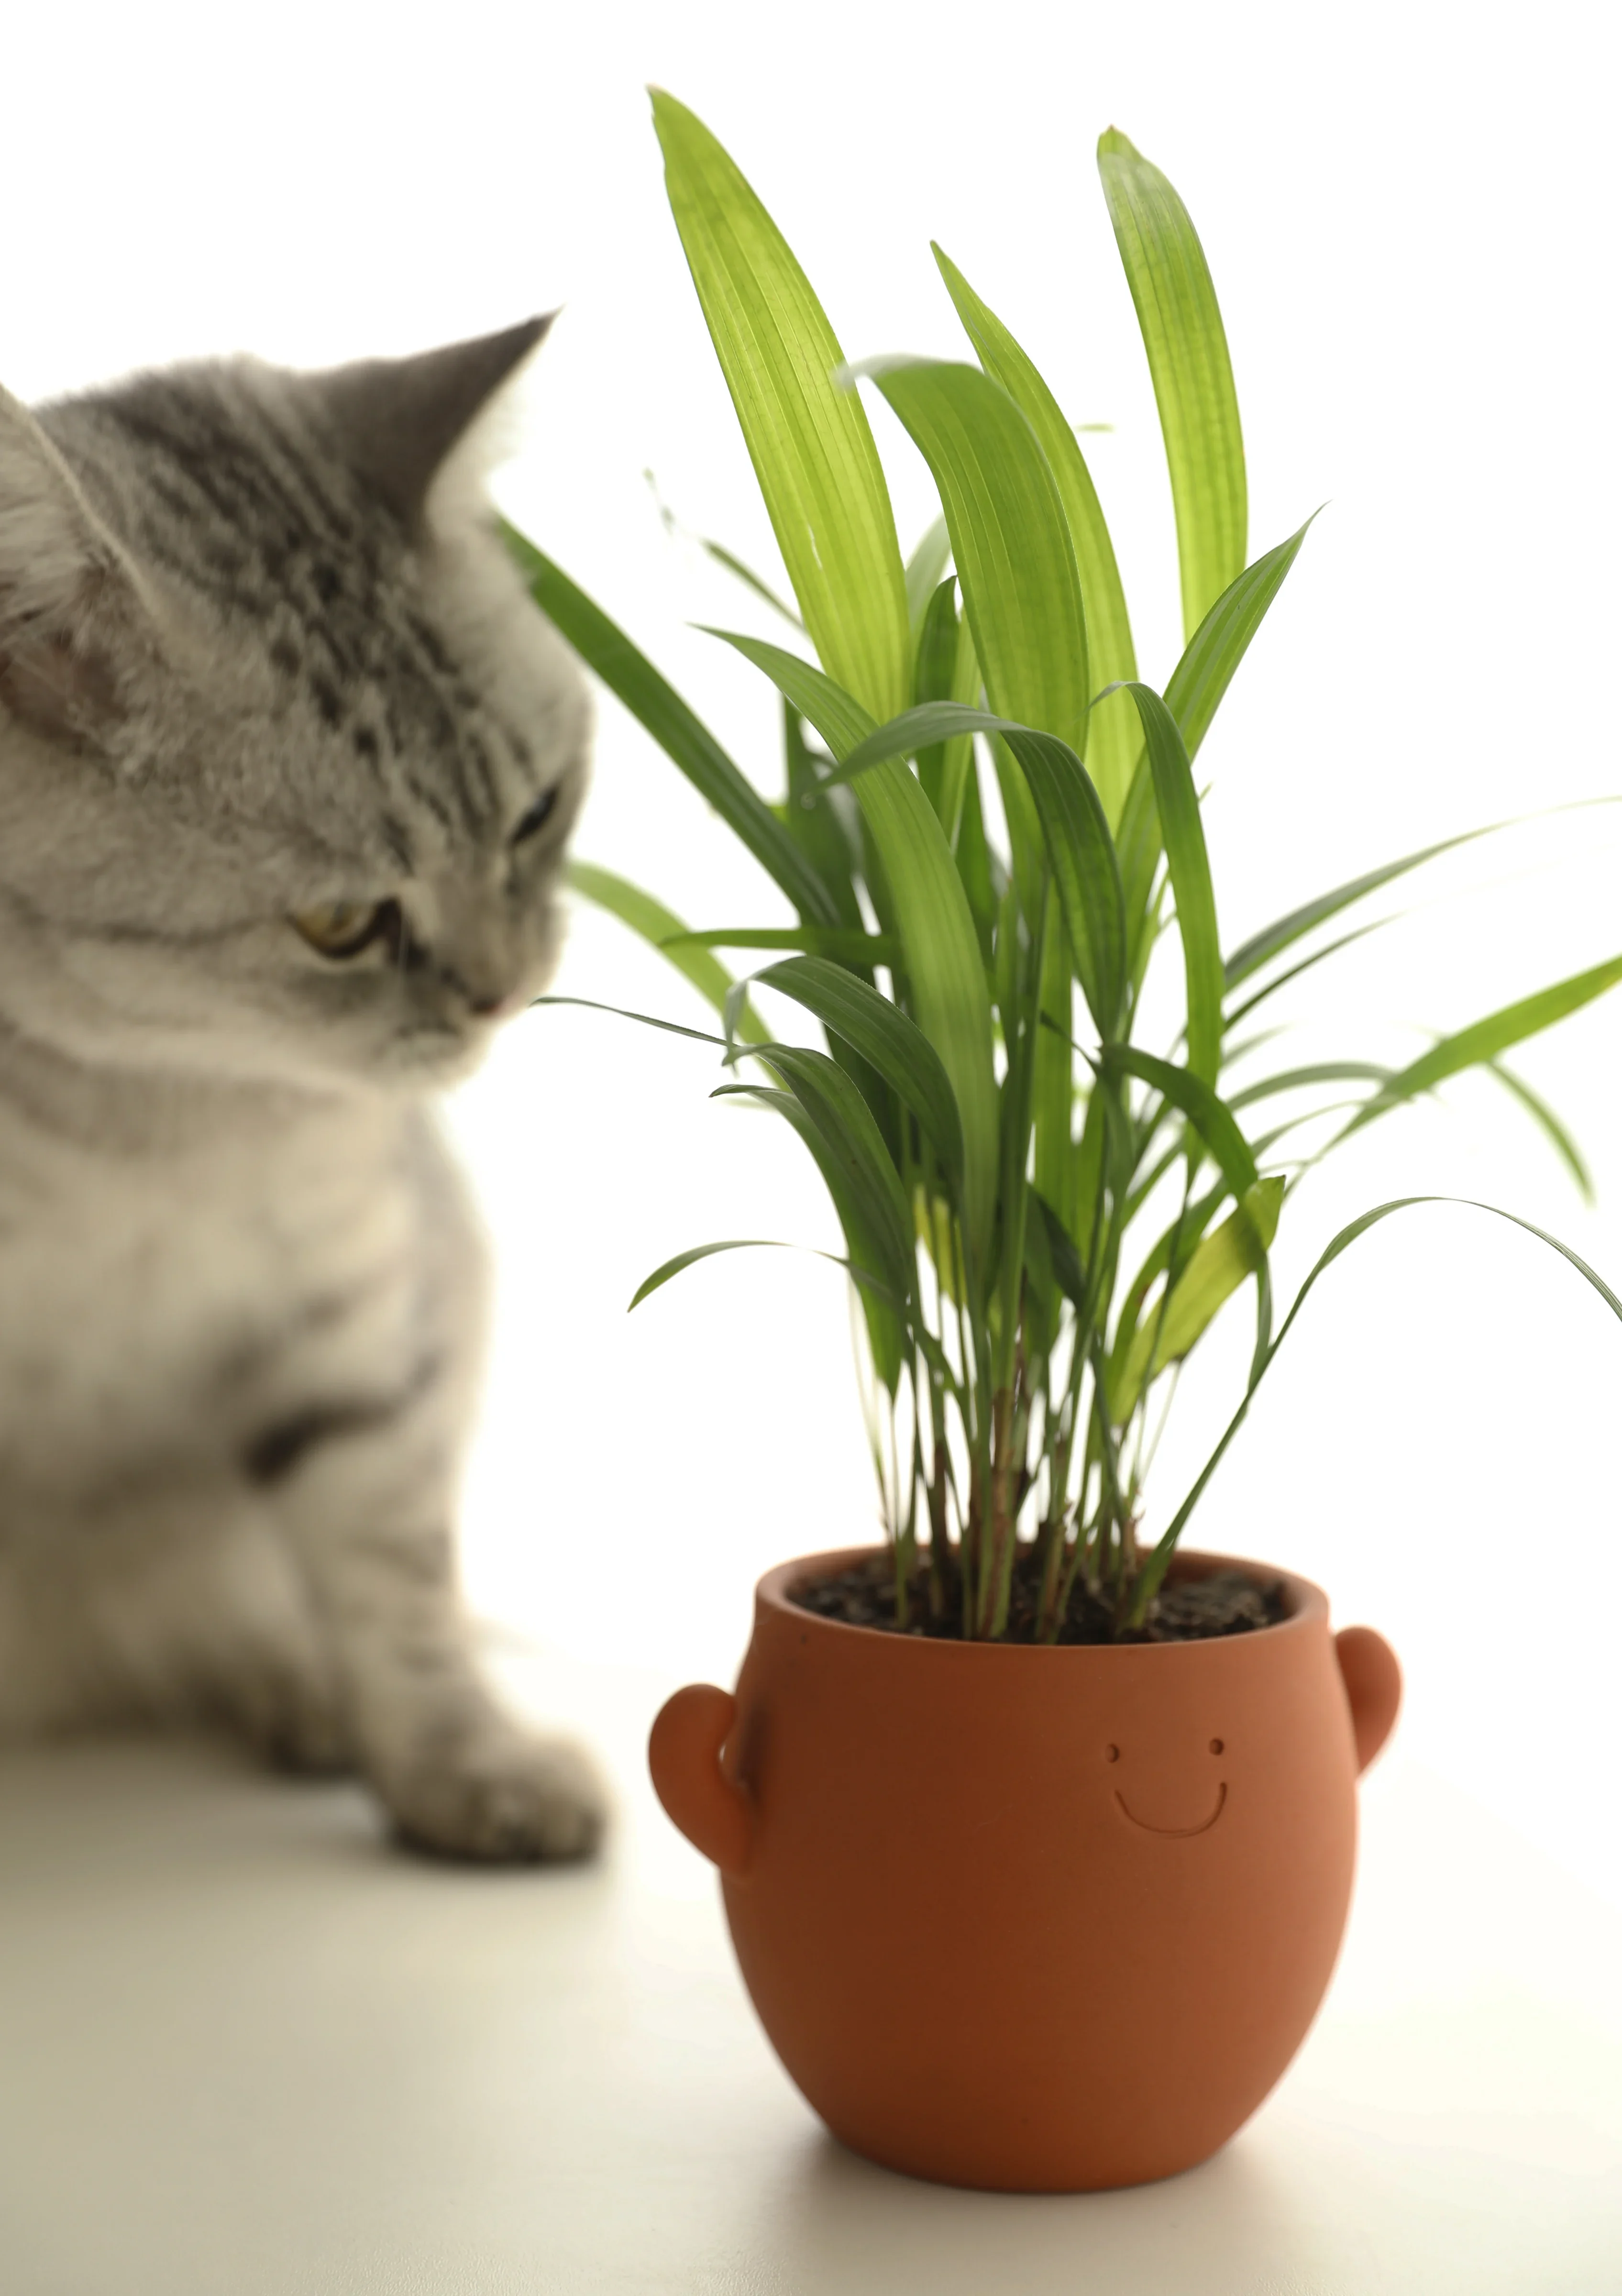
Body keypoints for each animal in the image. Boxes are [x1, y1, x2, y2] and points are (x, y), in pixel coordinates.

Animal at [0, 323, 602, 1855]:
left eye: (536, 814)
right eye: (340, 924)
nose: (501, 991)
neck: (150, 1128)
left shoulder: (350, 1318)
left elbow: (394, 1579)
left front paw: (464, 1768)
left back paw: (302, 1695)